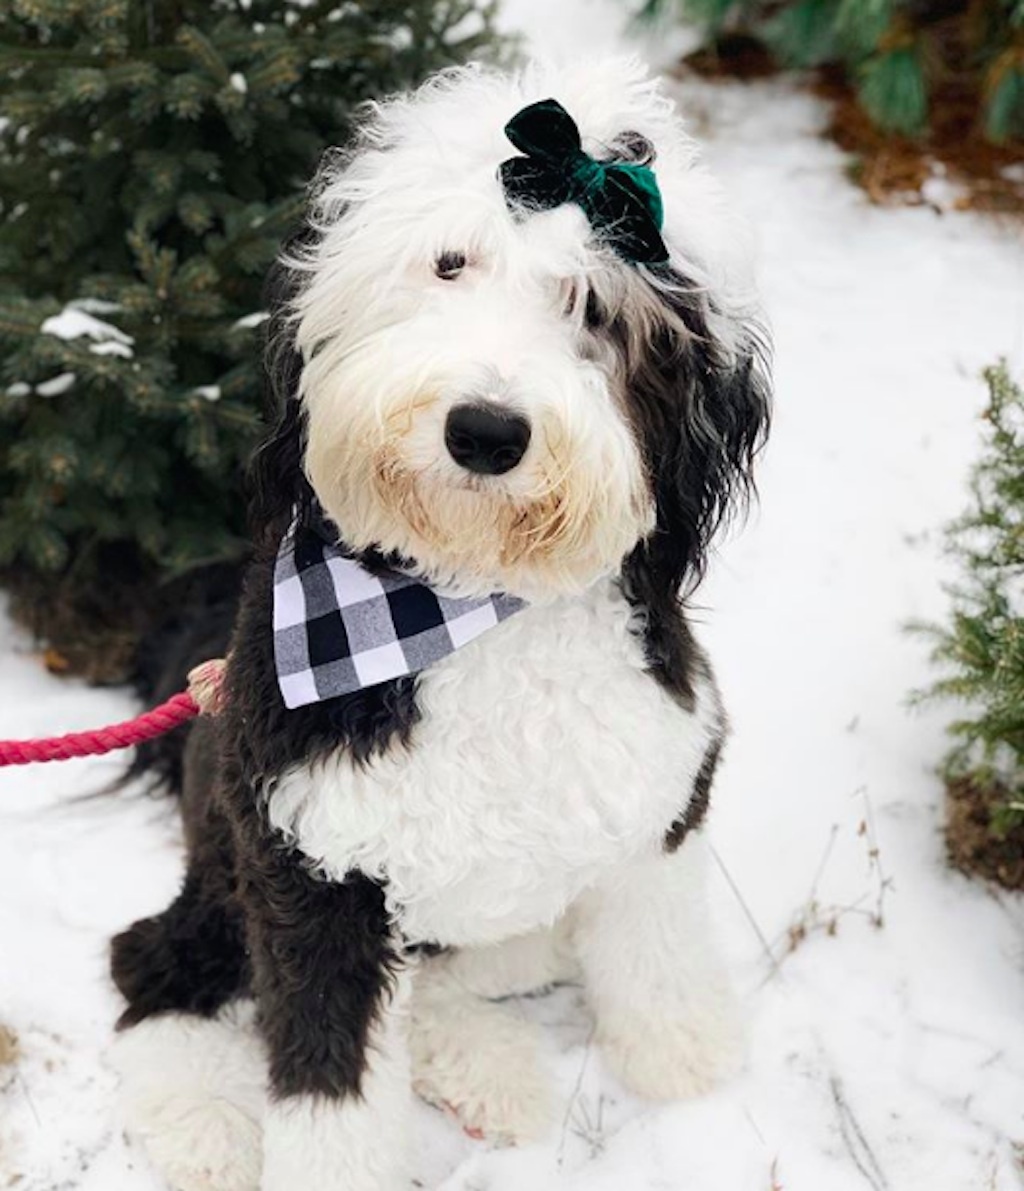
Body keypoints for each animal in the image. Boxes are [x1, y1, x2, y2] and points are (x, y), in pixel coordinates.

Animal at [107, 53, 771, 1191]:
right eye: (448, 265)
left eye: (593, 307)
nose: (486, 431)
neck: (465, 603)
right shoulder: (313, 874)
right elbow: (328, 1088)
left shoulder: (656, 793)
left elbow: (658, 945)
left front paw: (680, 1055)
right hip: (226, 880)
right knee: (154, 970)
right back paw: (206, 1122)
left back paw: (481, 1067)